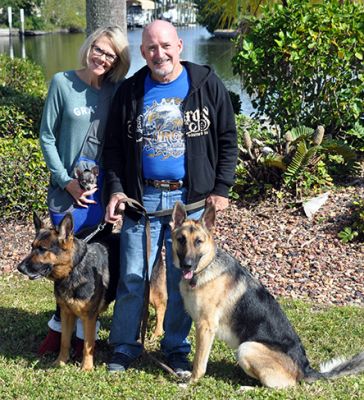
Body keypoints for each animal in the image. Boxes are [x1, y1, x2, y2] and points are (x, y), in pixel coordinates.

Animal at [17, 212, 167, 372]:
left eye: (43, 249)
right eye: (32, 247)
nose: (19, 268)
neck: (73, 269)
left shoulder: (89, 317)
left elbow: (87, 345)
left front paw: (86, 368)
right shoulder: (66, 313)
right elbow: (64, 341)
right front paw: (60, 362)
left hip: (151, 292)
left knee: (161, 307)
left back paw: (157, 333)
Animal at [171, 203, 364, 388]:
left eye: (198, 242)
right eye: (181, 240)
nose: (187, 265)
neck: (206, 267)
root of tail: (304, 369)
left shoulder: (205, 327)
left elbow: (199, 364)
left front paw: (191, 383)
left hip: (247, 348)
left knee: (283, 386)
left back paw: (247, 388)